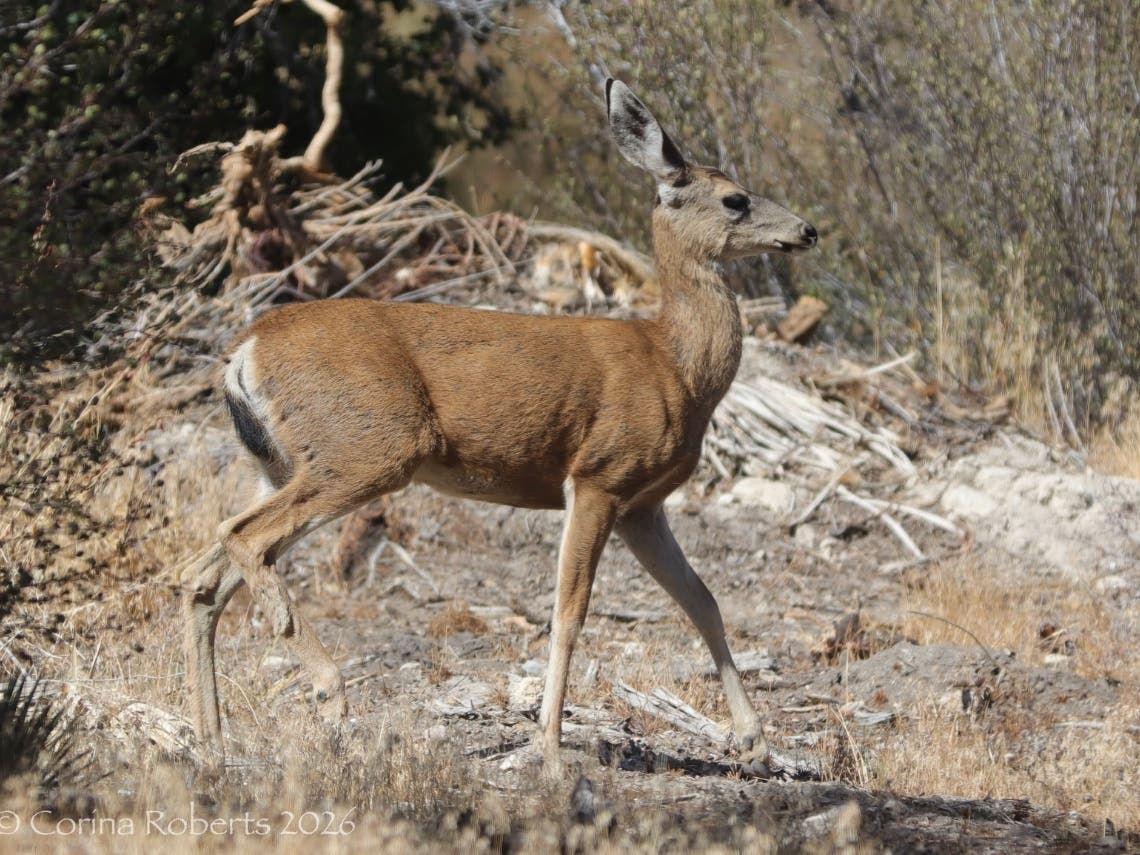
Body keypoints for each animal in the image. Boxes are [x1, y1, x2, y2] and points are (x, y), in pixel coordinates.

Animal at [181, 78, 817, 773]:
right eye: (735, 199)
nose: (807, 230)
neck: (674, 365)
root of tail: (244, 352)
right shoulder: (599, 475)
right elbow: (570, 612)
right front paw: (551, 751)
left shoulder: (643, 506)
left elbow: (702, 600)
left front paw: (756, 743)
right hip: (367, 448)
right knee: (242, 539)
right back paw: (328, 691)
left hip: (280, 464)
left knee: (204, 576)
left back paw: (212, 744)